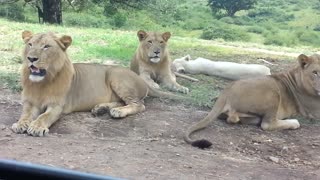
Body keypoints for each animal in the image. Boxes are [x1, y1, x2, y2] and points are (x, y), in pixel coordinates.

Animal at [10, 30, 178, 136]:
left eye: (46, 46)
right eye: (30, 45)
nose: (31, 59)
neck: (42, 83)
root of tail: (142, 79)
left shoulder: (57, 106)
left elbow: (44, 116)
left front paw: (37, 127)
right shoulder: (29, 102)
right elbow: (25, 114)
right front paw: (20, 124)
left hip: (116, 75)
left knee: (138, 104)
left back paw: (118, 112)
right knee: (122, 102)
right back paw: (101, 108)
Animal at [184, 53, 320, 149]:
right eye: (315, 72)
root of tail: (226, 91)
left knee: (234, 119)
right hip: (273, 93)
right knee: (267, 124)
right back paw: (294, 122)